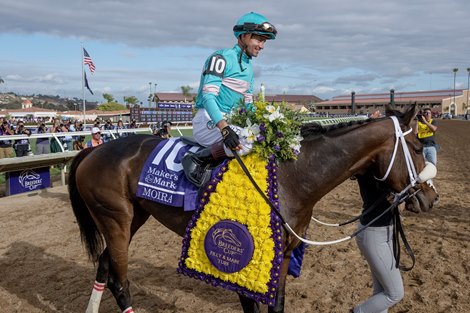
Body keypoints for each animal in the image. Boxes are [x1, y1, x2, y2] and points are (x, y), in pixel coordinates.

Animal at [69, 105, 436, 312]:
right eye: (418, 147)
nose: (430, 198)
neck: (292, 177)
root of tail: (92, 151)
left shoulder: (283, 254)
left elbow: (277, 304)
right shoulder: (241, 255)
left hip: (133, 218)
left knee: (104, 267)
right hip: (115, 220)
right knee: (120, 281)